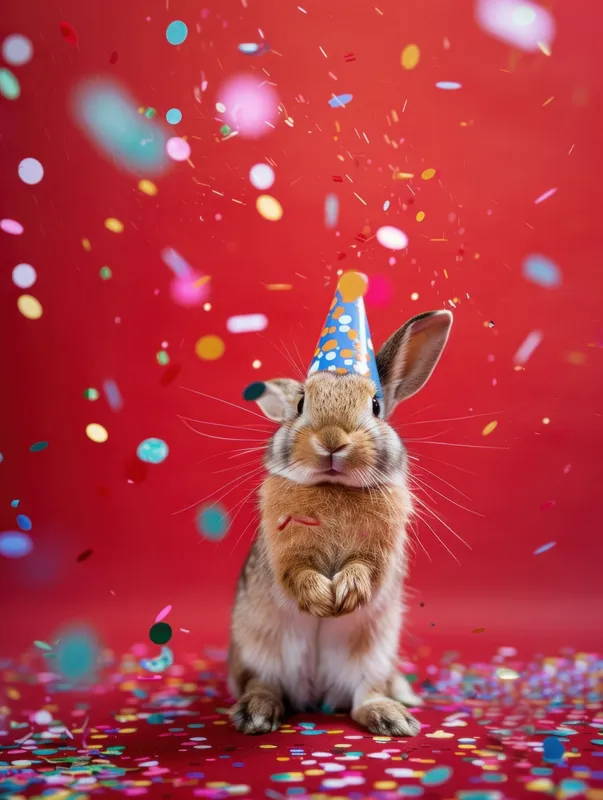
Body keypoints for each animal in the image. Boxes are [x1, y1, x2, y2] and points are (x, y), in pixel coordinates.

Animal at [228, 308, 453, 736]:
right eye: (301, 403)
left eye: (376, 406)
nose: (332, 439)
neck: (333, 486)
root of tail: (316, 692)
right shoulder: (285, 551)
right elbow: (297, 572)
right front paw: (321, 598)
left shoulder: (380, 551)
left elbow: (366, 569)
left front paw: (346, 592)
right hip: (257, 648)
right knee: (264, 683)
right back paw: (256, 714)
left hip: (373, 654)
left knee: (363, 698)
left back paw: (394, 719)